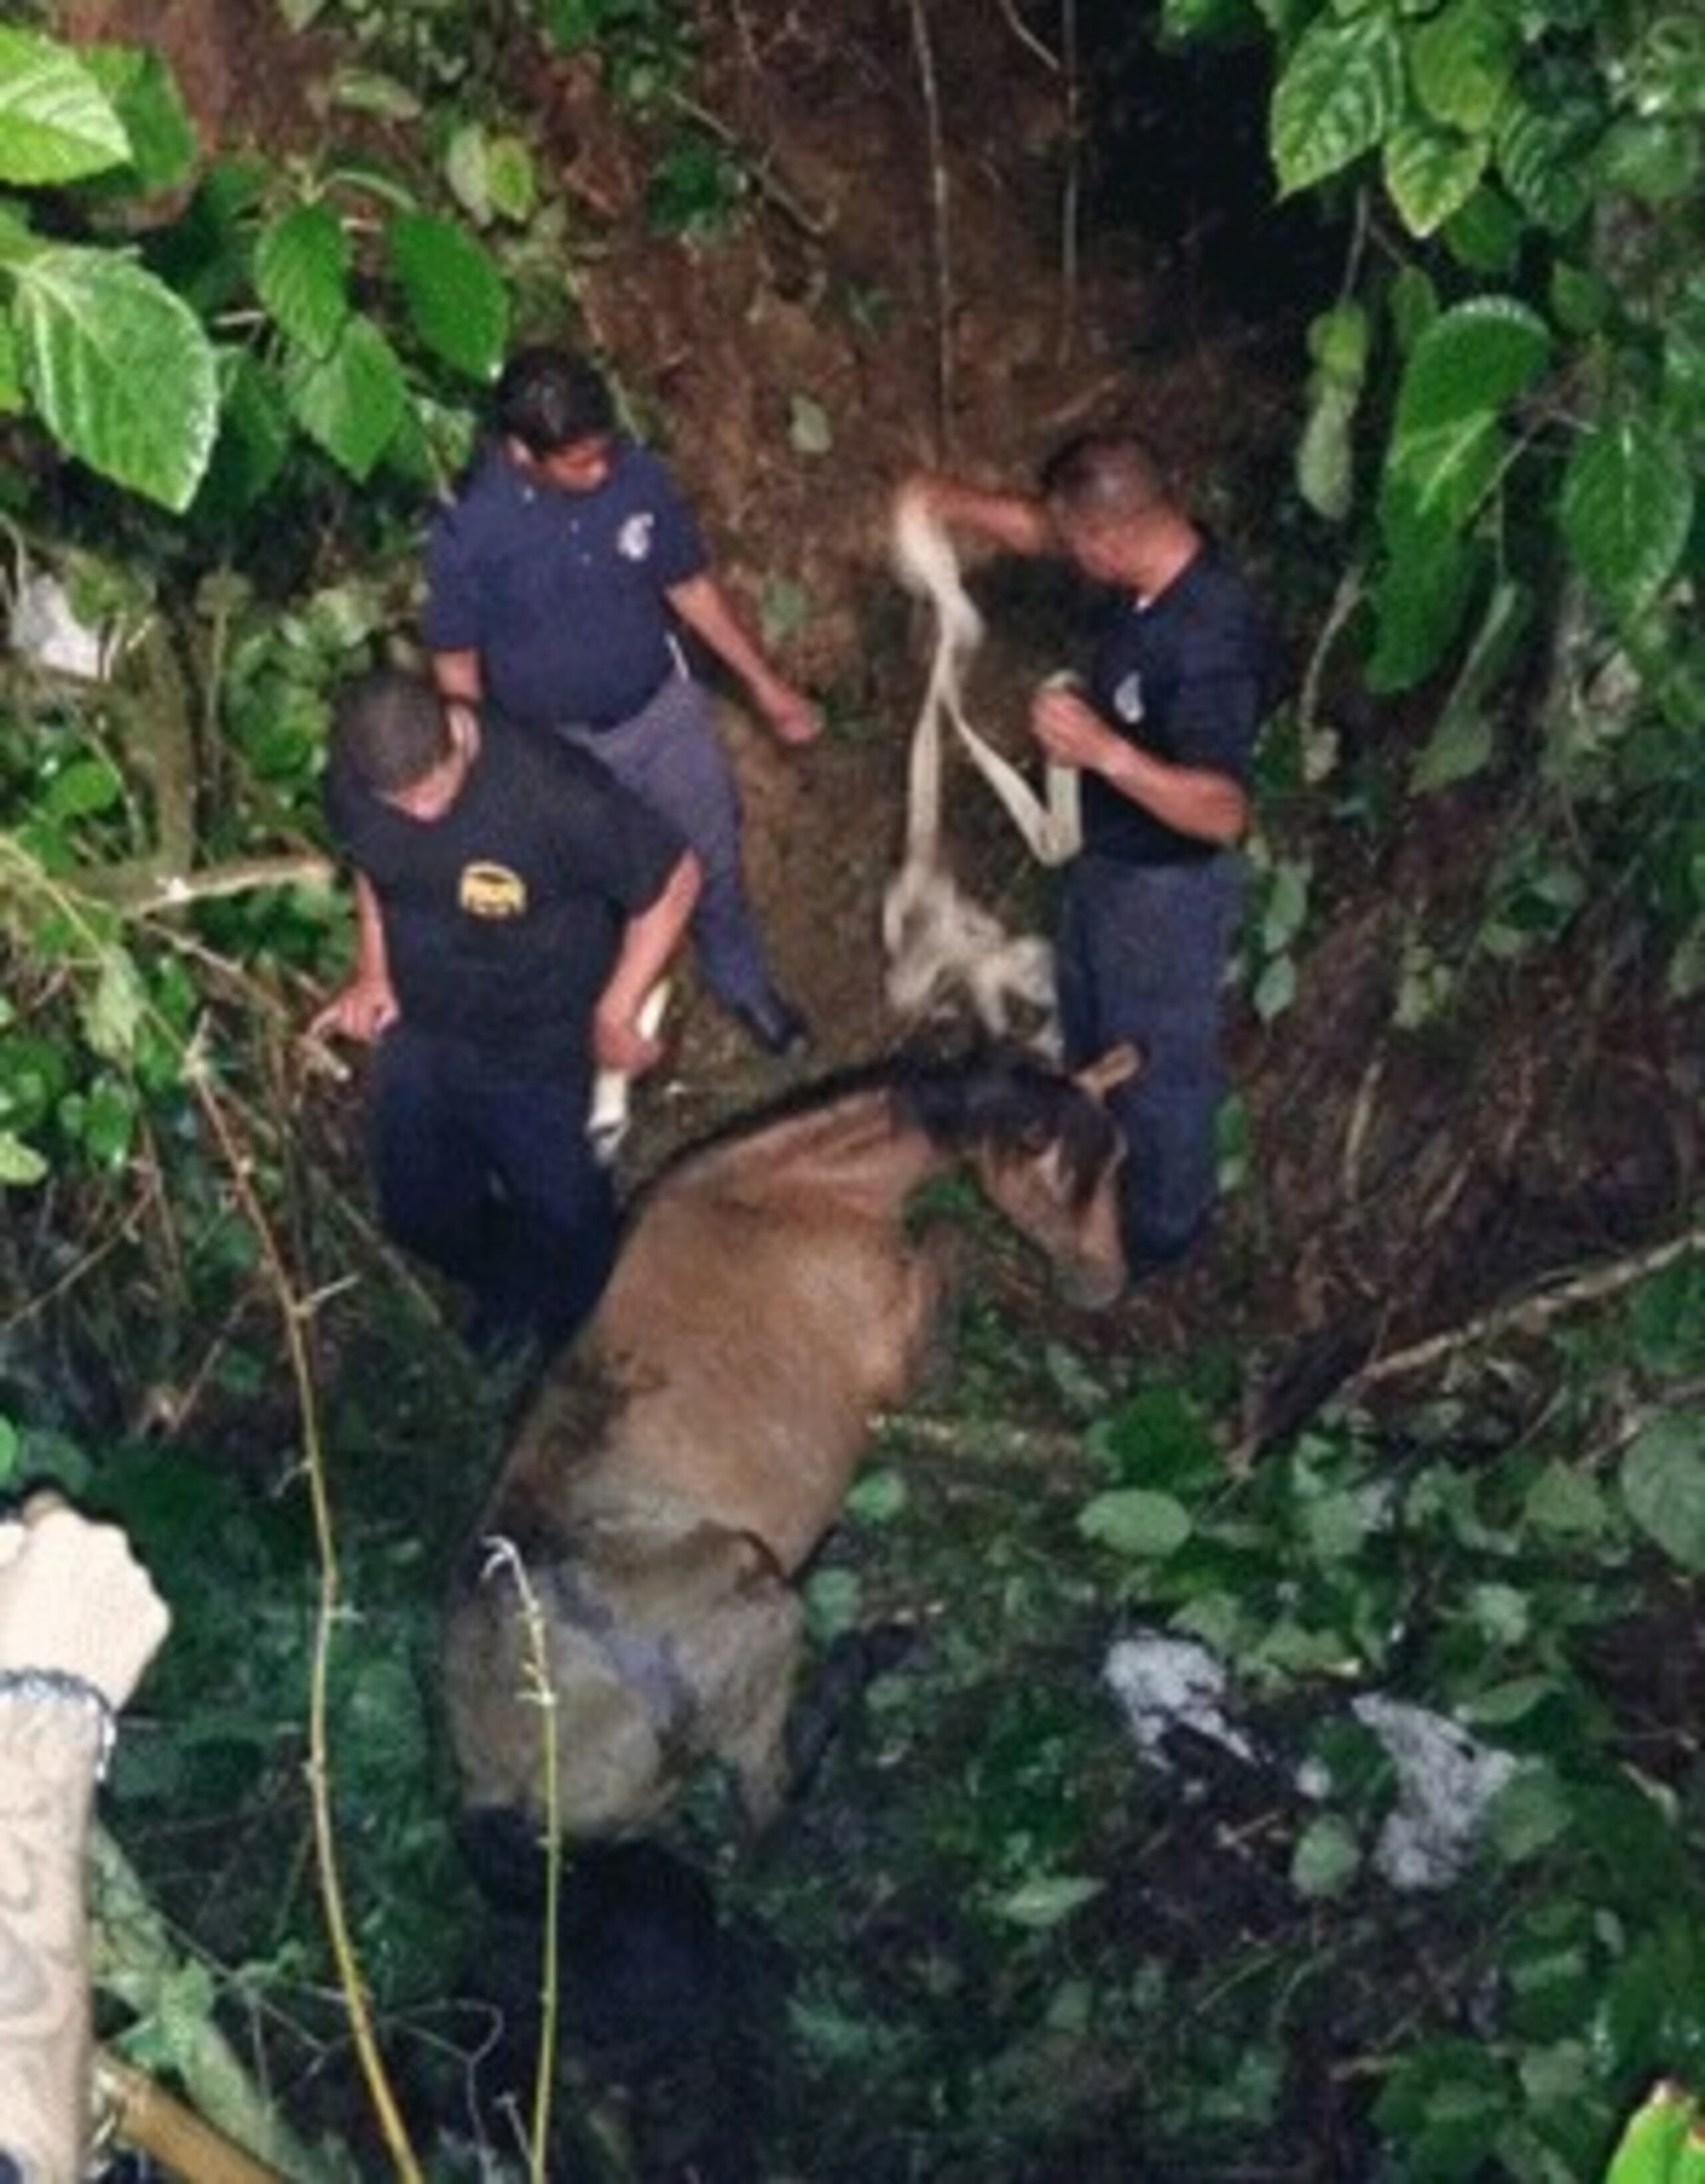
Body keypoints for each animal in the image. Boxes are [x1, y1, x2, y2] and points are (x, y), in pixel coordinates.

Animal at [444, 1039, 1128, 1843]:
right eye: (1052, 1176)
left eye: (1117, 1160)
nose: (1107, 1285)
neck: (791, 1193)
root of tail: (501, 1787)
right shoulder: (896, 1352)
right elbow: (948, 1244)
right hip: (753, 1607)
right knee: (766, 1806)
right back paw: (872, 1649)